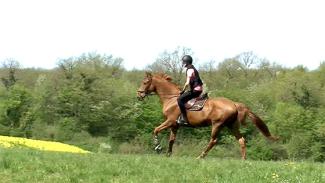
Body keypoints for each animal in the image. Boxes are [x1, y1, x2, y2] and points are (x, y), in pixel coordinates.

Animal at [136, 72, 276, 159]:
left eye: (145, 82)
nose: (139, 95)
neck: (171, 98)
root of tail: (234, 104)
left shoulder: (170, 121)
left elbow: (155, 130)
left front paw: (158, 148)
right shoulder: (175, 125)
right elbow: (171, 140)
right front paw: (168, 154)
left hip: (217, 124)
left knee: (213, 141)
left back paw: (200, 156)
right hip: (231, 125)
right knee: (241, 140)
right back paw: (243, 159)